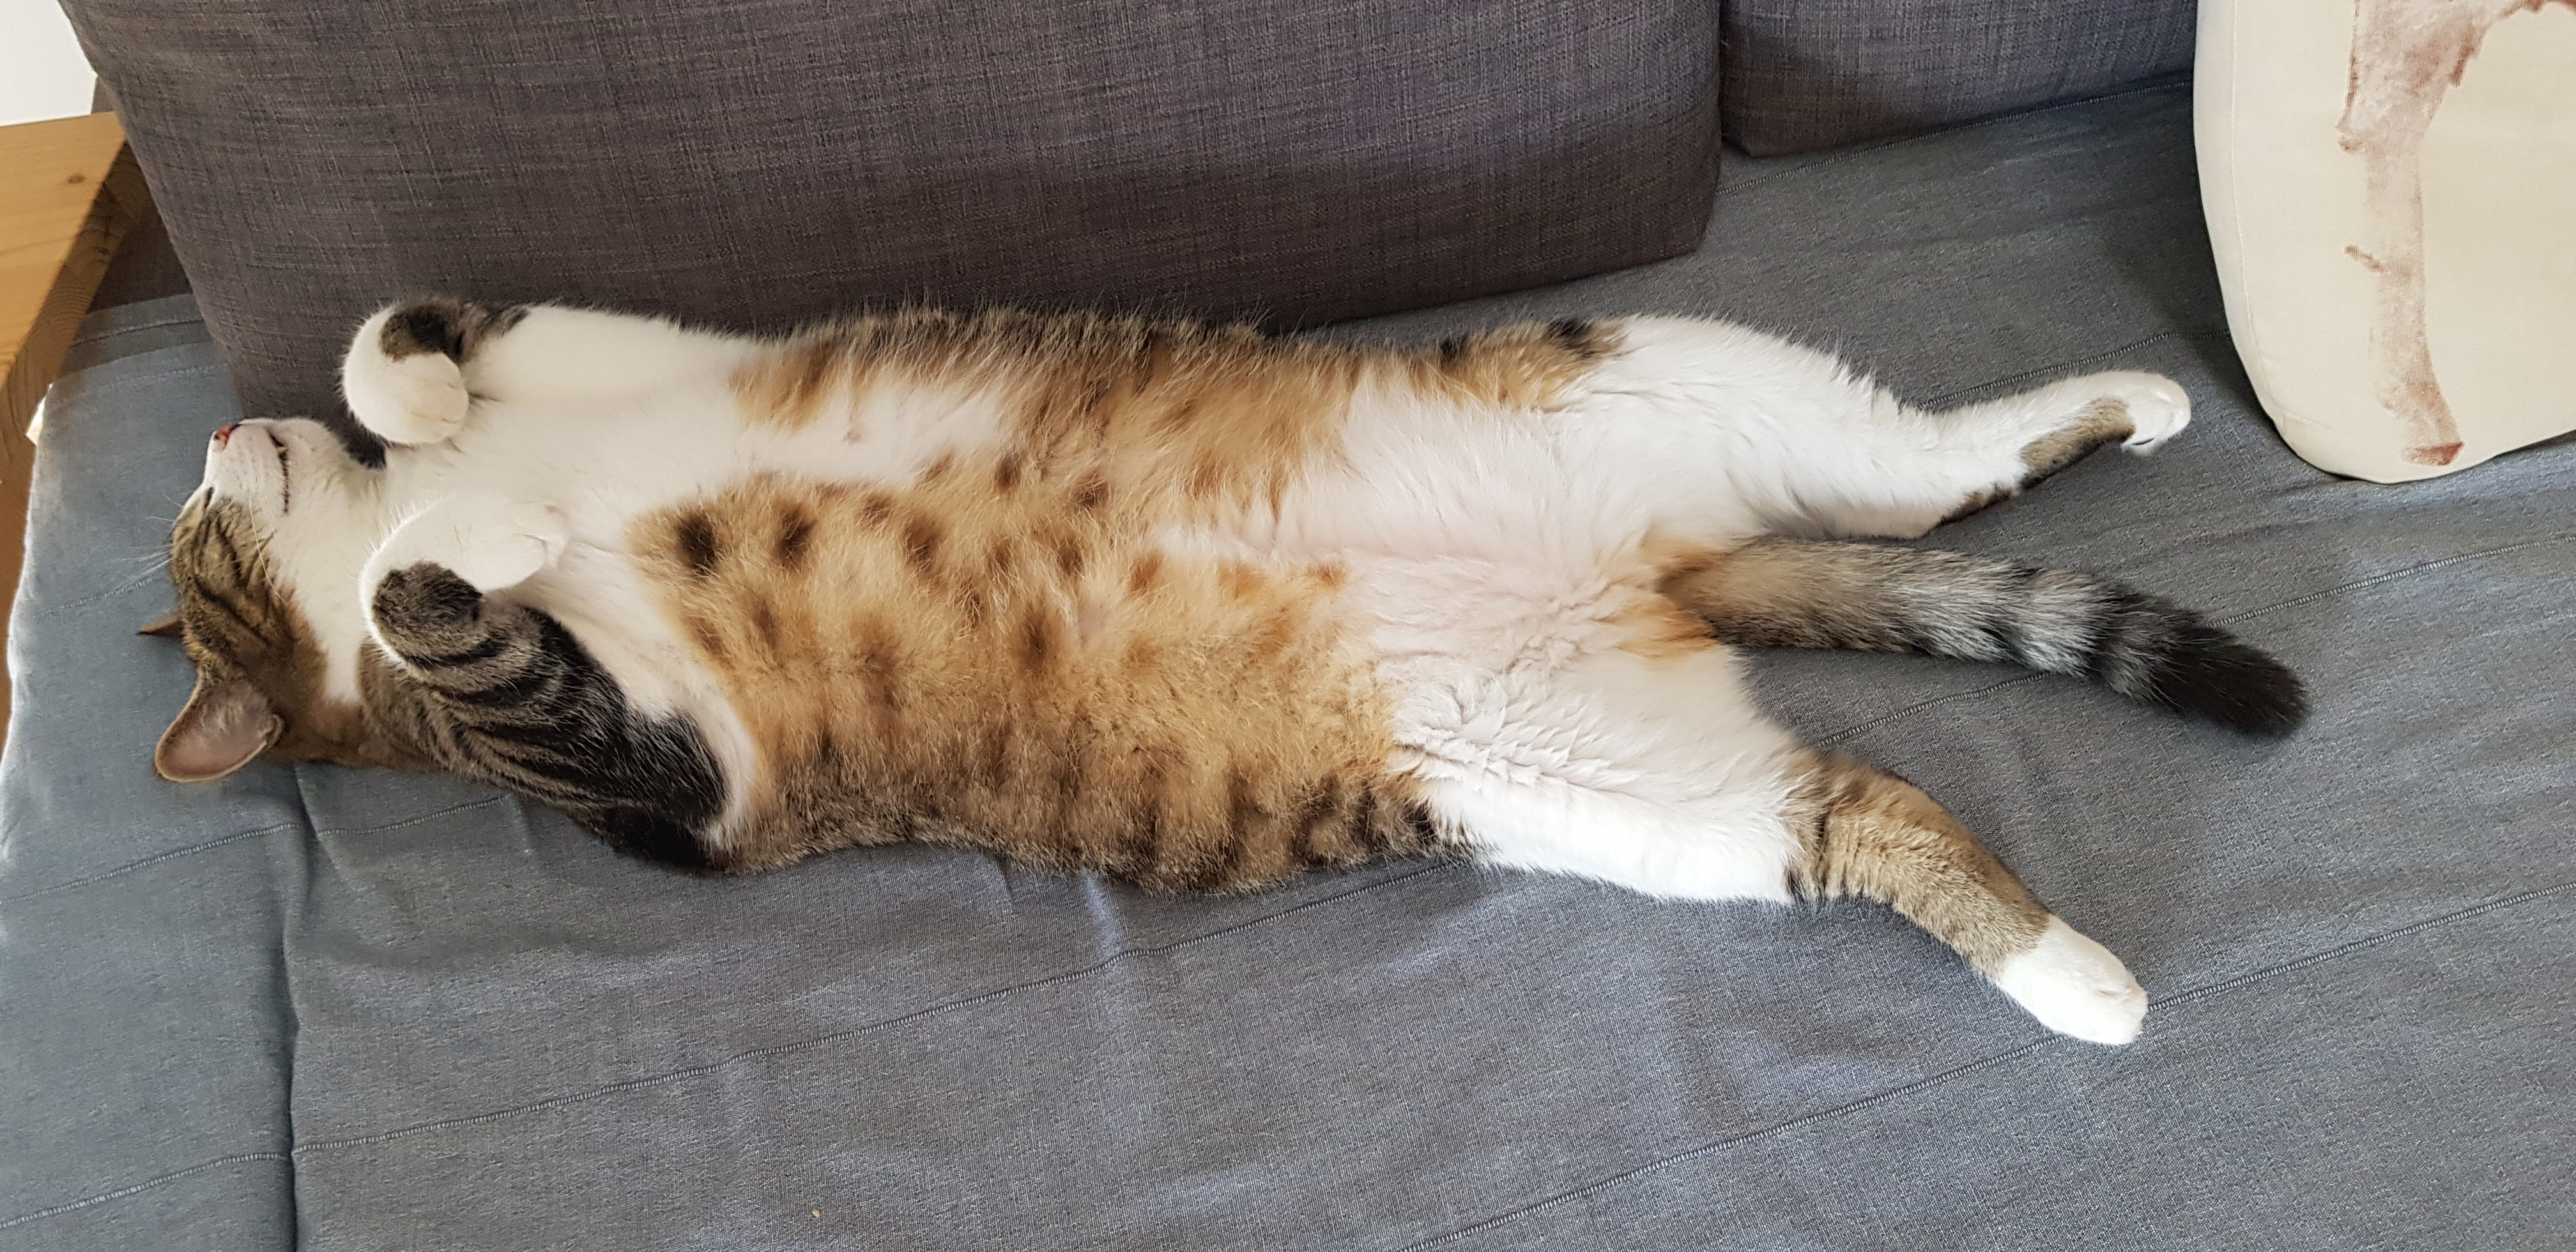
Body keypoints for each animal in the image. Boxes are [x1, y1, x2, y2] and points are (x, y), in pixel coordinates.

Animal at [150, 298, 2306, 1046]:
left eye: (182, 542)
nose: (206, 441)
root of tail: (1658, 570)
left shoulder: (585, 337)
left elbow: (396, 343)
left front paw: (417, 435)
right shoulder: (651, 772)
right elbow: (442, 596)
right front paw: (454, 544)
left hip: (1666, 372)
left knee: (1937, 459)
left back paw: (2128, 397)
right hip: (1584, 779)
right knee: (1859, 804)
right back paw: (2080, 978)